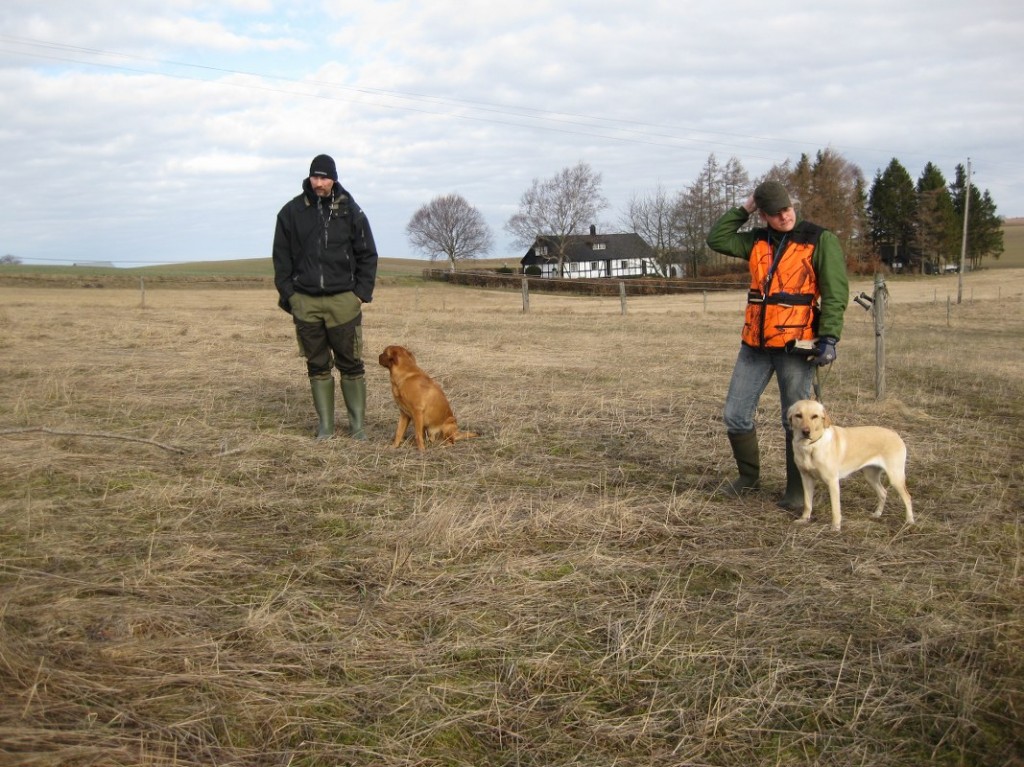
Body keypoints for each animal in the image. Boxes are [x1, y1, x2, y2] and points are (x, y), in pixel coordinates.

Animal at [786, 397, 917, 528]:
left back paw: (909, 520)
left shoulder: (832, 481)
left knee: (907, 497)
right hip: (871, 476)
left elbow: (835, 508)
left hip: (895, 477)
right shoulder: (806, 478)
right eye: (798, 415)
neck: (810, 447)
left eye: (815, 416)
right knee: (883, 492)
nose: (806, 432)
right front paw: (804, 519)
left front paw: (836, 526)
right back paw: (877, 514)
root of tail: (896, 435)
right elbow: (807, 503)